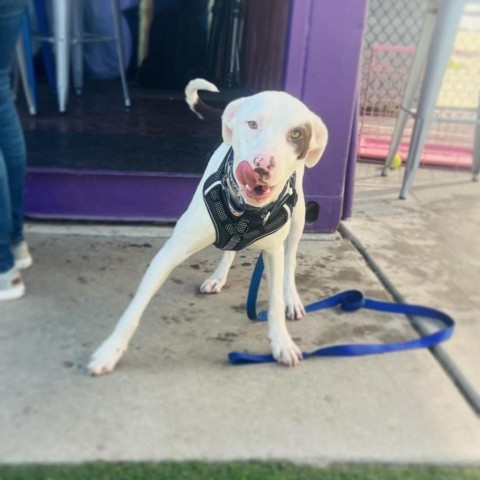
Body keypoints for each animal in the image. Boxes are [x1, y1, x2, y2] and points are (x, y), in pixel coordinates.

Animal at [88, 78, 328, 376]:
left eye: (295, 134)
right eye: (252, 124)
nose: (262, 165)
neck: (247, 211)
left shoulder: (273, 254)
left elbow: (273, 303)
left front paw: (281, 343)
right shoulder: (170, 252)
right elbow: (136, 306)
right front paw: (111, 350)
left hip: (299, 217)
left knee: (291, 258)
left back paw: (291, 298)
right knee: (231, 249)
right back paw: (218, 277)